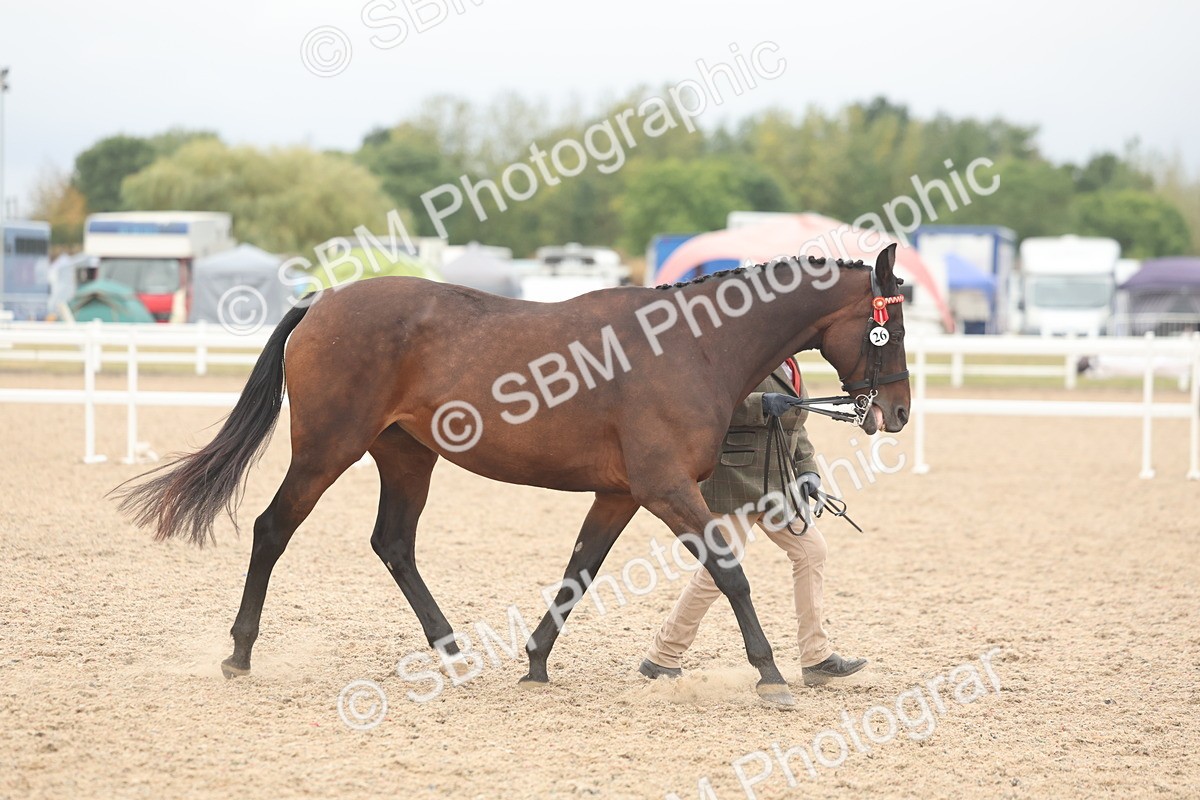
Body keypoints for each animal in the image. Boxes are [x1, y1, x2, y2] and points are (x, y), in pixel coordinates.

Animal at [115, 243, 909, 708]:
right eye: (889, 328)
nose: (897, 412)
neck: (691, 347)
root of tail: (323, 302)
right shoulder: (664, 491)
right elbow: (731, 574)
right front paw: (771, 673)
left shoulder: (619, 495)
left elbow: (579, 573)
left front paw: (534, 662)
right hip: (326, 450)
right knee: (273, 529)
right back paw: (240, 653)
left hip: (406, 455)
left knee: (393, 543)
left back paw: (453, 654)